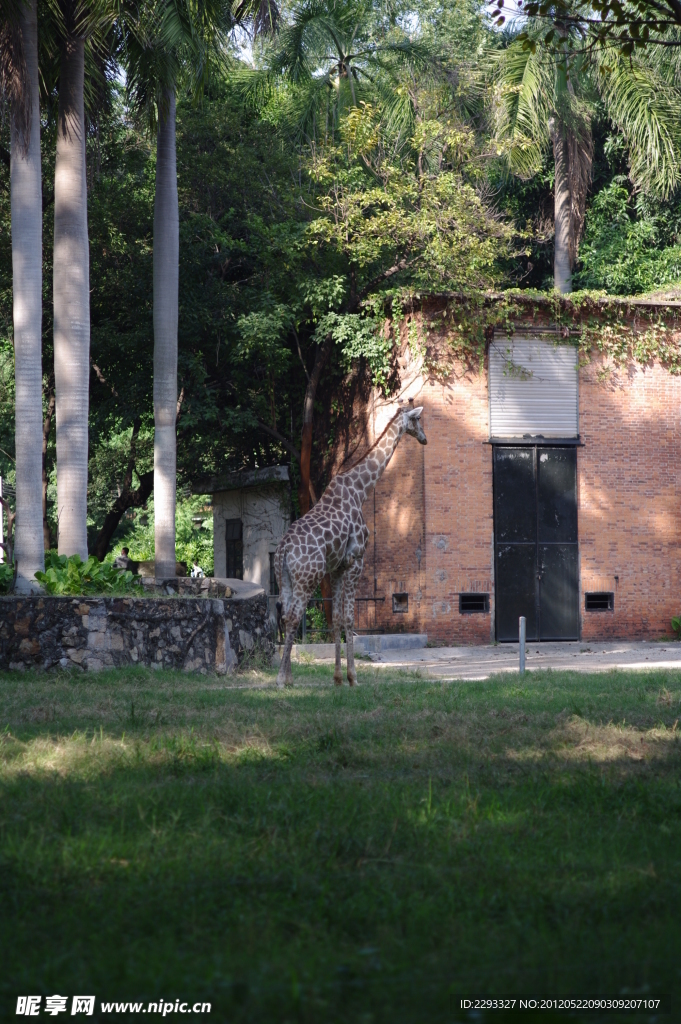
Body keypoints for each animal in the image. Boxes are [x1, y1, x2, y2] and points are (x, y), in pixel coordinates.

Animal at [274, 401, 426, 688]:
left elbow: (335, 619)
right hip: (307, 578)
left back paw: (288, 678)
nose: (424, 438)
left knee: (286, 614)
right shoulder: (357, 559)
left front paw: (337, 678)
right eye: (418, 420)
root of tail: (283, 550)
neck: (361, 490)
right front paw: (353, 678)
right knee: (295, 616)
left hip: (285, 578)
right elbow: (348, 619)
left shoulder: (337, 568)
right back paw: (280, 680)